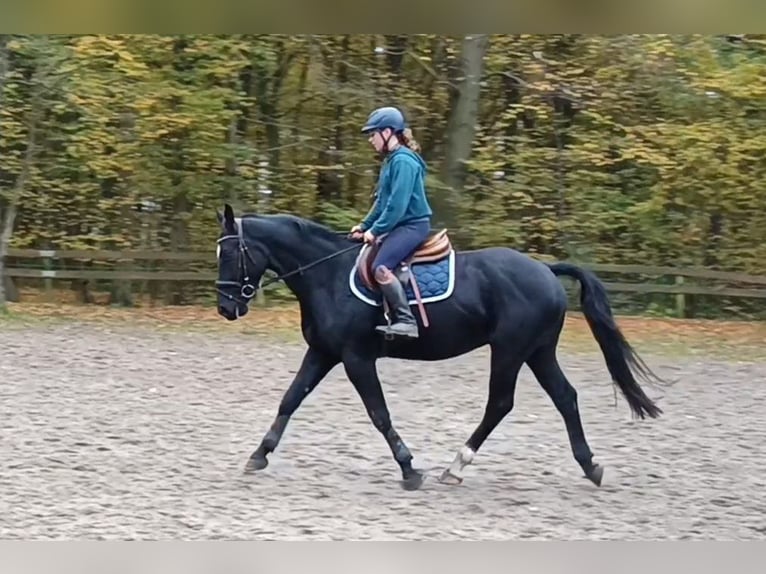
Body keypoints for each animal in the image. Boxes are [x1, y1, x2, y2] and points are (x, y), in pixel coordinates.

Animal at [216, 205, 664, 492]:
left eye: (231, 253)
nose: (225, 308)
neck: (328, 274)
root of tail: (545, 269)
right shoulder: (324, 353)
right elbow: (290, 399)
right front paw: (259, 455)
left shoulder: (356, 358)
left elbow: (379, 414)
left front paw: (409, 469)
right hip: (537, 352)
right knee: (565, 397)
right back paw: (590, 466)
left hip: (510, 350)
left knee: (500, 403)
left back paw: (456, 466)